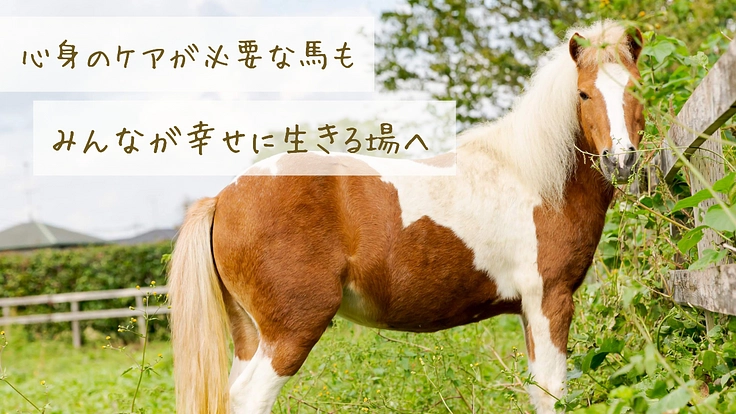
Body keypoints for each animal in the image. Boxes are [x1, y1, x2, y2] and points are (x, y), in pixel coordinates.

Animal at [168, 20, 645, 414]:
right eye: (583, 93)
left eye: (637, 88)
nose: (620, 160)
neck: (535, 176)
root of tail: (224, 197)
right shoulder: (549, 300)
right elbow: (552, 393)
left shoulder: (531, 310)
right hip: (290, 332)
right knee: (250, 398)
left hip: (251, 336)